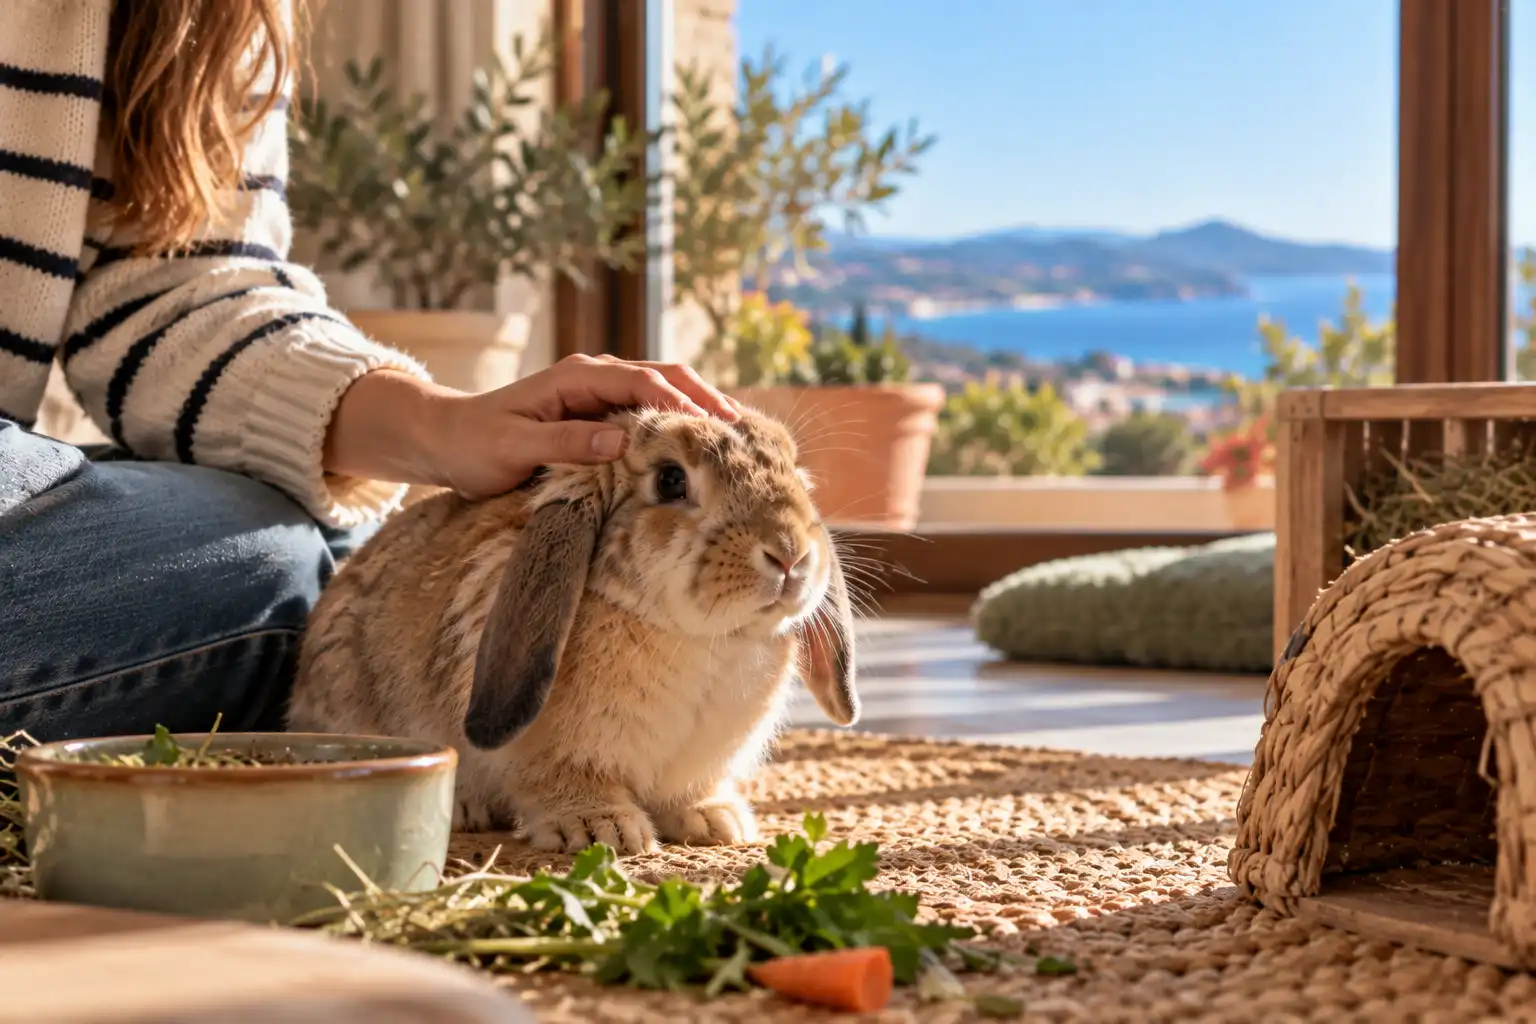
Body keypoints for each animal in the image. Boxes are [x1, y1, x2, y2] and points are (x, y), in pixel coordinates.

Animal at [287, 405, 859, 855]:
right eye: (671, 480)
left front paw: (715, 821)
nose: (790, 554)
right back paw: (468, 808)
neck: (705, 640)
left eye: (794, 471)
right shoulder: (552, 753)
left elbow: (691, 790)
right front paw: (605, 829)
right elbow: (561, 781)